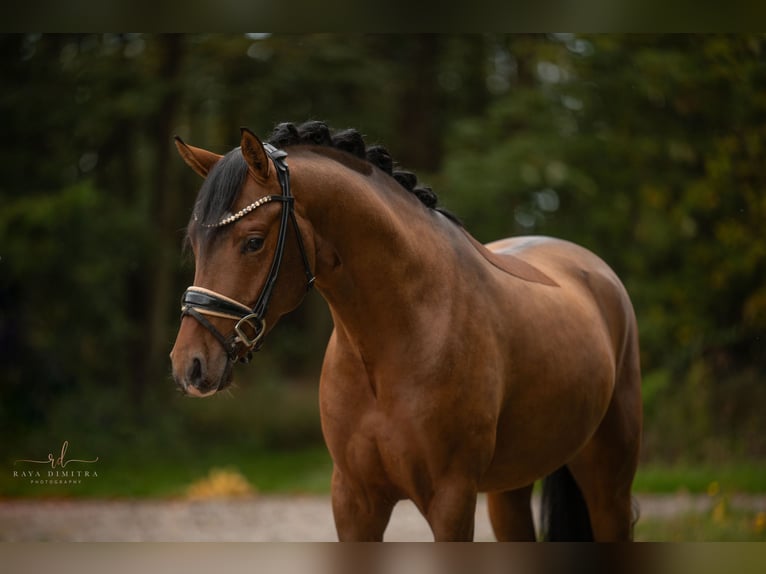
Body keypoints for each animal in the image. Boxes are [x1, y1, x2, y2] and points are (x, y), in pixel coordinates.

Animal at [171, 121, 644, 544]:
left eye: (253, 242)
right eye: (195, 244)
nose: (188, 365)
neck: (398, 339)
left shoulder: (451, 500)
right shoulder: (355, 502)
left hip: (608, 486)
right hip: (510, 491)